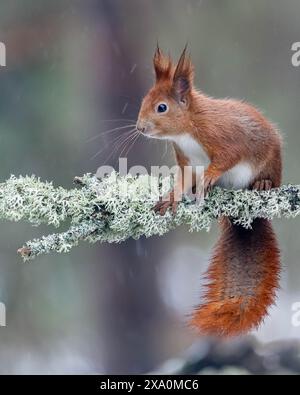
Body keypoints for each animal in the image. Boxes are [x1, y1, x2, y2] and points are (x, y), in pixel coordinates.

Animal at [137, 46, 282, 338]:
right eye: (144, 100)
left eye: (161, 107)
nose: (140, 127)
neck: (187, 131)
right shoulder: (186, 161)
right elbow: (183, 181)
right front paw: (171, 197)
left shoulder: (224, 136)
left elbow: (228, 157)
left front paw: (211, 175)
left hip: (271, 161)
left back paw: (262, 184)